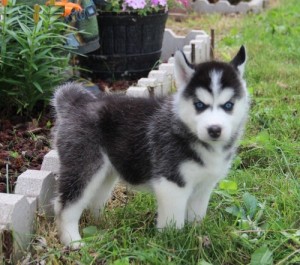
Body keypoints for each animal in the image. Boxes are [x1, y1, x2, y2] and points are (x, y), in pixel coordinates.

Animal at [52, 46, 250, 246]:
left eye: (228, 105)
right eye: (199, 105)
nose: (214, 130)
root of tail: (75, 104)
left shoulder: (204, 186)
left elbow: (197, 215)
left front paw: (197, 235)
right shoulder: (171, 183)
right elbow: (173, 223)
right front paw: (173, 243)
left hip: (106, 172)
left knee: (95, 199)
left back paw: (102, 225)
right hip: (85, 166)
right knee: (65, 205)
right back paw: (72, 240)